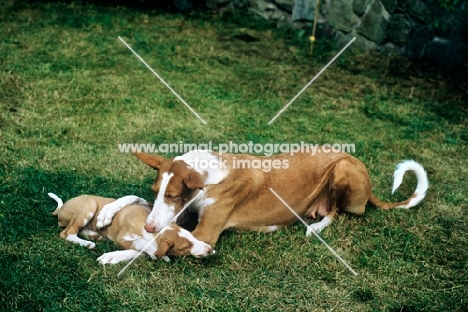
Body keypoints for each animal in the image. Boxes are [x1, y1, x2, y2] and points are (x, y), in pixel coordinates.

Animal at [49, 193, 214, 264]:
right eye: (186, 246)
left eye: (191, 236)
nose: (210, 249)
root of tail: (61, 208)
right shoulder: (122, 239)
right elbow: (142, 244)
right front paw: (159, 254)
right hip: (89, 205)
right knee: (67, 233)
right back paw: (87, 243)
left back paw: (91, 235)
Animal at [97, 150, 430, 250]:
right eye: (157, 192)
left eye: (173, 195)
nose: (150, 227)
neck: (210, 174)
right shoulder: (181, 213)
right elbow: (134, 197)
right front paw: (105, 214)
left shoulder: (204, 232)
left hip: (343, 168)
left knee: (336, 211)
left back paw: (316, 227)